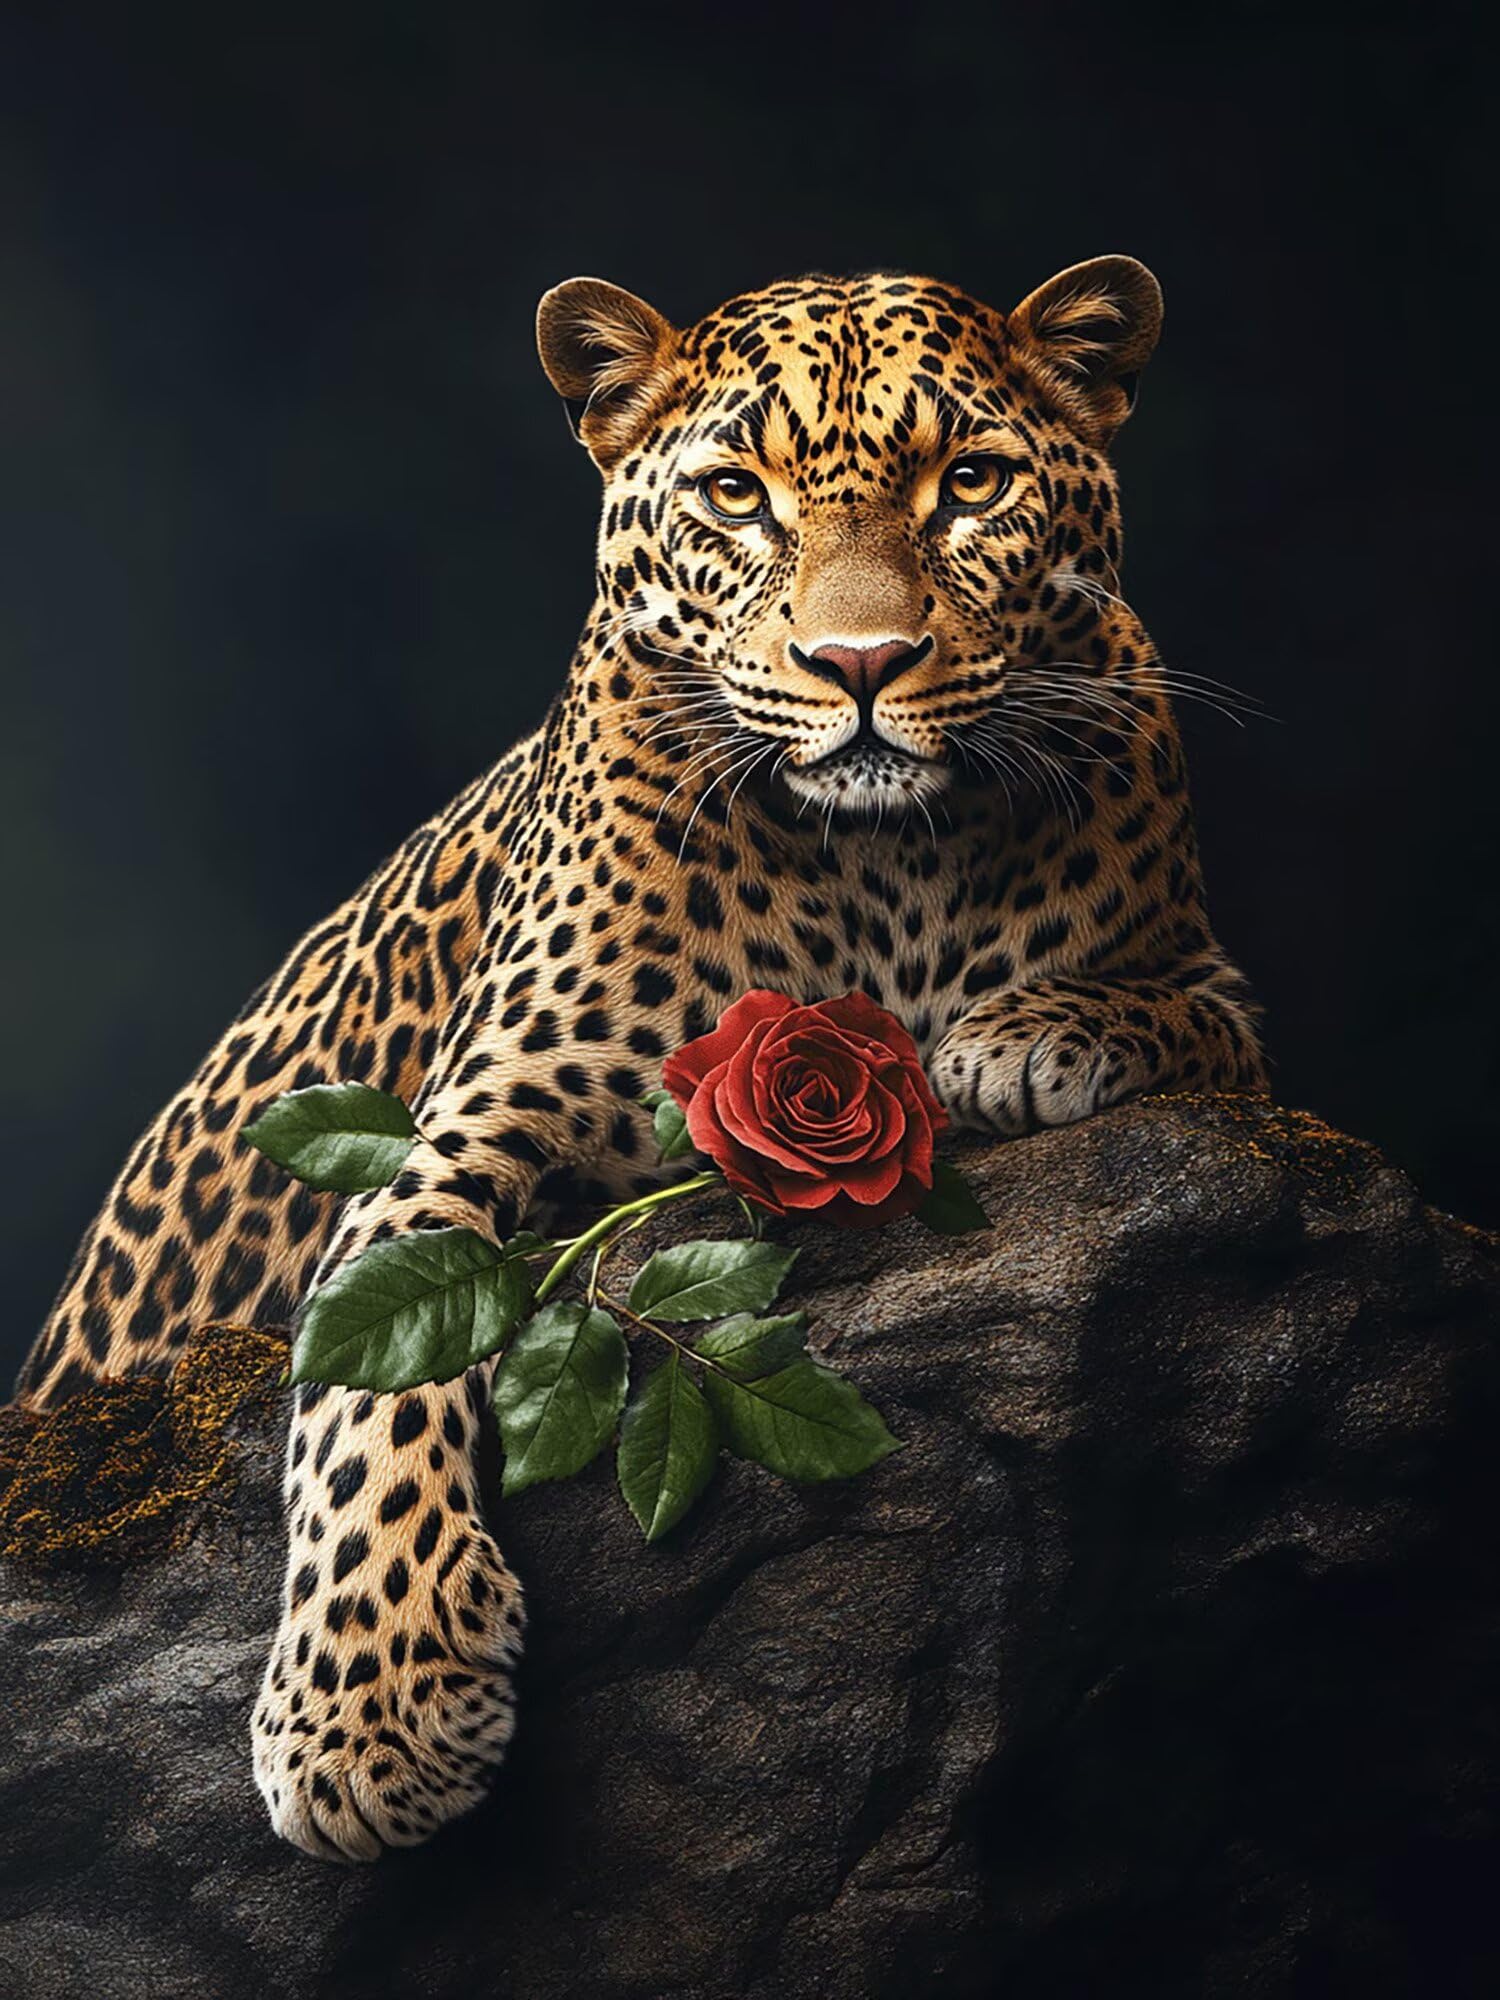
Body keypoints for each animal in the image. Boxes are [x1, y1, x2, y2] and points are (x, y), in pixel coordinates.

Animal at [15, 256, 1266, 1861]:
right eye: (737, 495)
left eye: (971, 483)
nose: (860, 663)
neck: (889, 862)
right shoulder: (462, 1127)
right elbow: (362, 1400)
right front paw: (372, 1710)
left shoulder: (1216, 983)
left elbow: (1179, 1008)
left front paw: (1030, 1032)